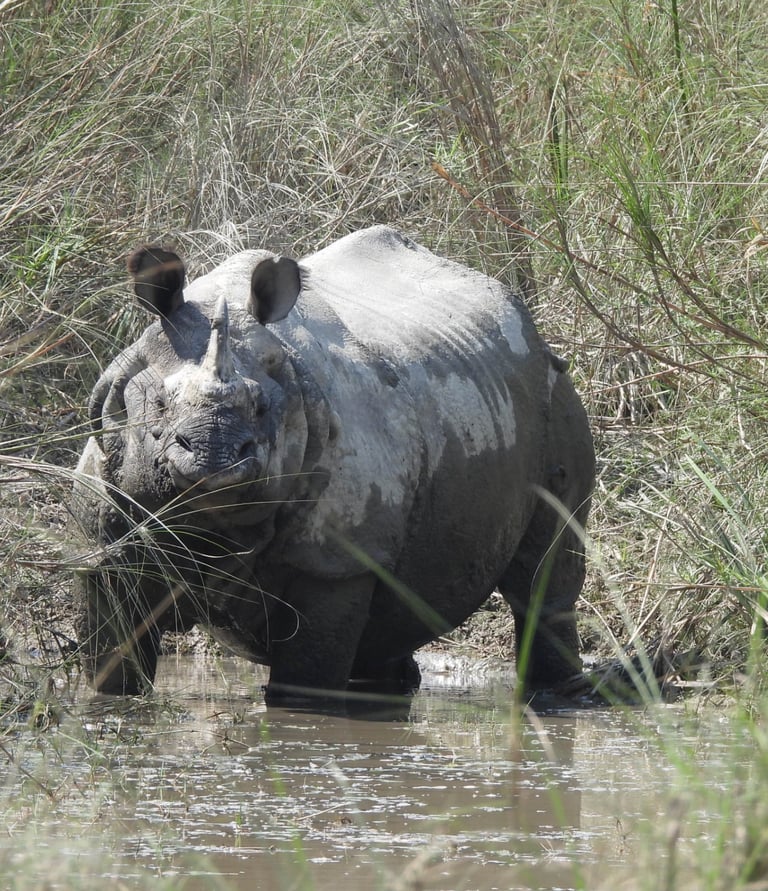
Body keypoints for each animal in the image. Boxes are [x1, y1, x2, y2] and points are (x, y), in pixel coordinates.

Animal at [72, 226, 595, 703]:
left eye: (262, 408)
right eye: (159, 405)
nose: (211, 458)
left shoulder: (335, 560)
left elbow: (306, 686)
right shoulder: (104, 536)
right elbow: (113, 665)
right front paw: (110, 700)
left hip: (554, 394)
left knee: (543, 575)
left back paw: (557, 696)